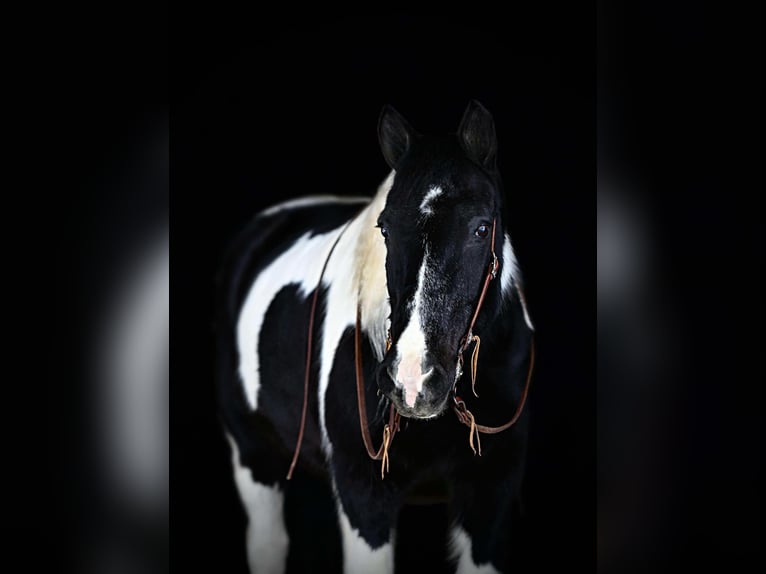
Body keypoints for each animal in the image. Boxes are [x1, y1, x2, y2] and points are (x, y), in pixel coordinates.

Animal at [213, 101, 536, 572]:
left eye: (480, 228)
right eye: (384, 228)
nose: (412, 381)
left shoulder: (489, 500)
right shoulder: (363, 499)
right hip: (252, 459)